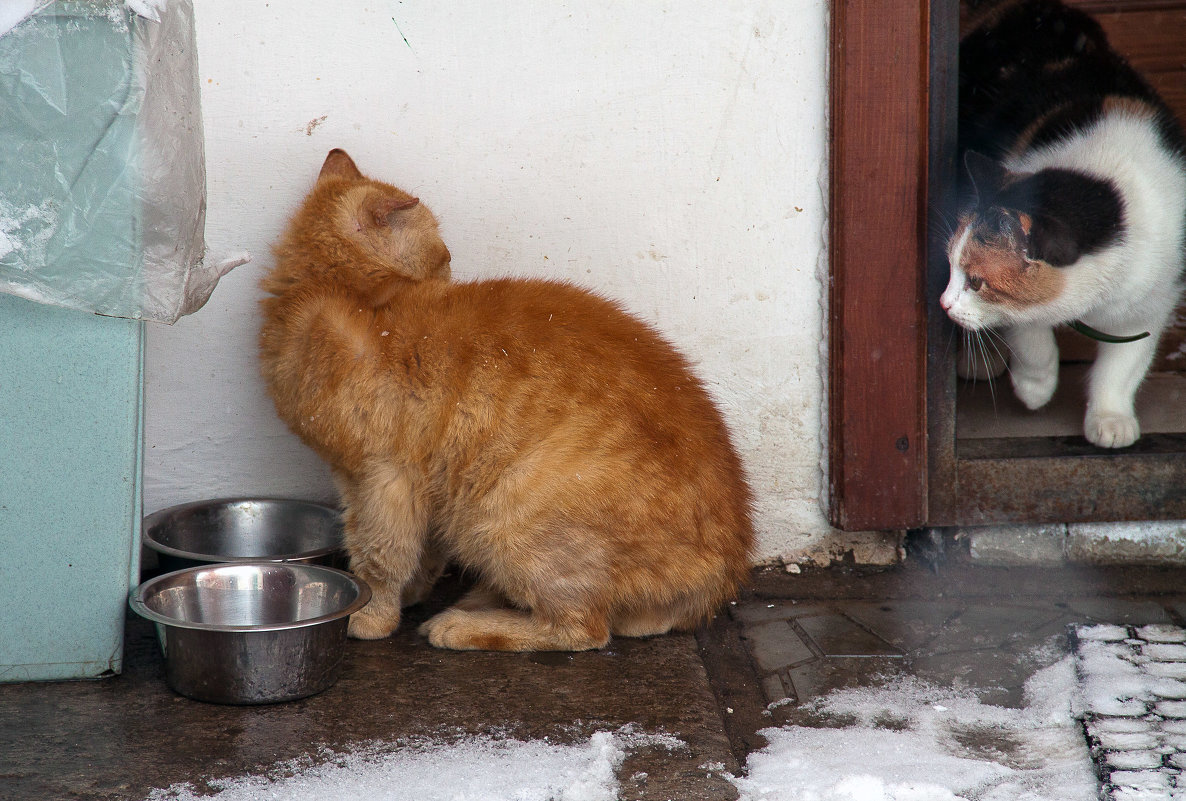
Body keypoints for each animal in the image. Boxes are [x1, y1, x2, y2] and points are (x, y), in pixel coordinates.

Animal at [263, 148, 754, 650]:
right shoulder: (402, 477)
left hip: (506, 514)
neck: (334, 291)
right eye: (445, 255)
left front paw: (371, 616)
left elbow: (379, 556)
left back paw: (463, 623)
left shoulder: (383, 477)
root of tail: (725, 574)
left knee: (582, 629)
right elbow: (420, 551)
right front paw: (412, 593)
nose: (451, 268)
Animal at [944, 0, 1186, 448]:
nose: (944, 303)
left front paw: (1110, 418)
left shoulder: (1152, 303)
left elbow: (1123, 366)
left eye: (977, 281)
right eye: (955, 270)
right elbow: (1029, 329)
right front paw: (1035, 386)